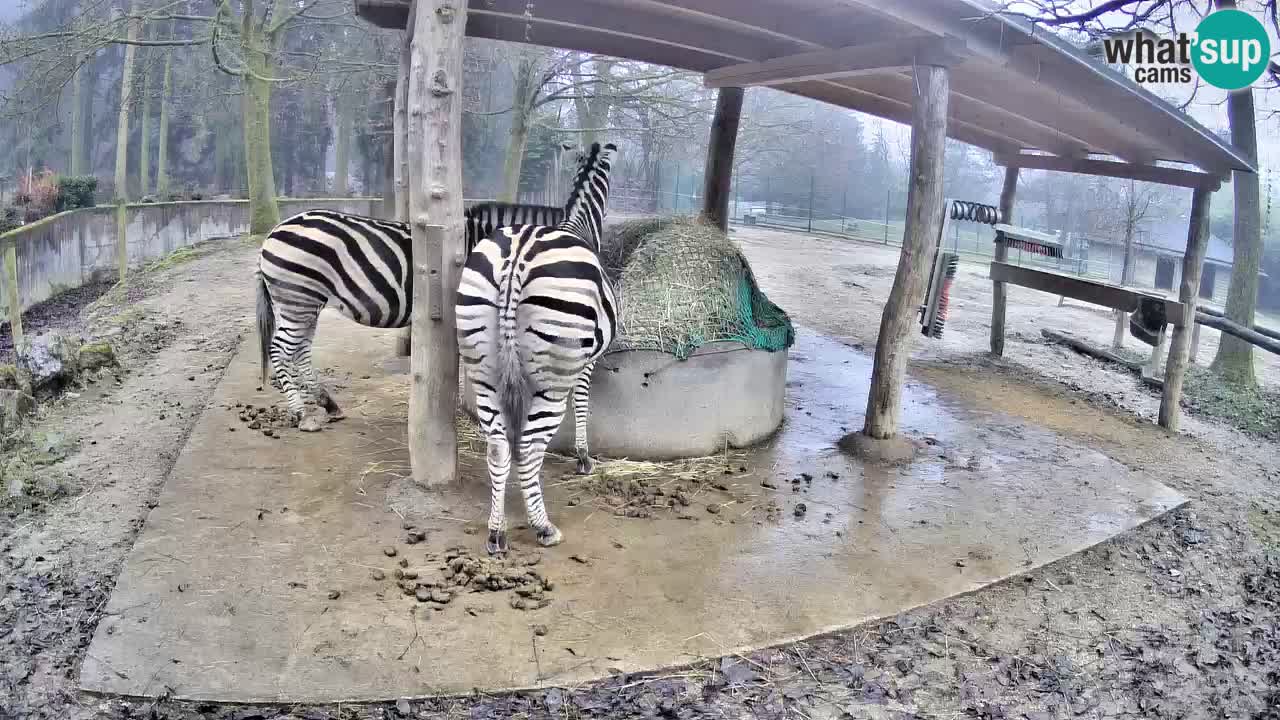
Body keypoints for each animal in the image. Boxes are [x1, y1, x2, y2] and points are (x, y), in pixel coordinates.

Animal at [455, 141, 618, 555]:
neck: (578, 223)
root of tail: (517, 255)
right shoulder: (585, 361)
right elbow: (583, 401)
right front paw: (583, 456)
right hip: (552, 380)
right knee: (529, 446)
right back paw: (543, 527)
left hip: (484, 370)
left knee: (498, 446)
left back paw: (496, 531)